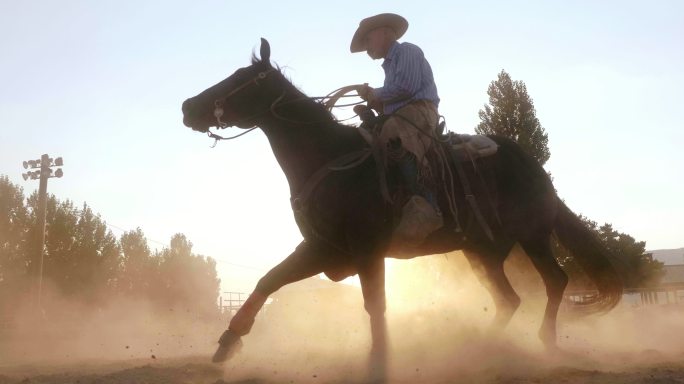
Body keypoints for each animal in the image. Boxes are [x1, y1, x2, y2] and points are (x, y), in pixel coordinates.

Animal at [179, 38, 624, 378]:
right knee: (510, 299)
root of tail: (533, 167)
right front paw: (227, 343)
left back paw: (535, 343)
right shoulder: (323, 248)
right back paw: (480, 347)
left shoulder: (366, 249)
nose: (187, 106)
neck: (331, 158)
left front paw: (379, 361)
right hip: (481, 251)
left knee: (555, 281)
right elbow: (268, 280)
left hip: (532, 237)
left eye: (240, 79)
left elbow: (375, 304)